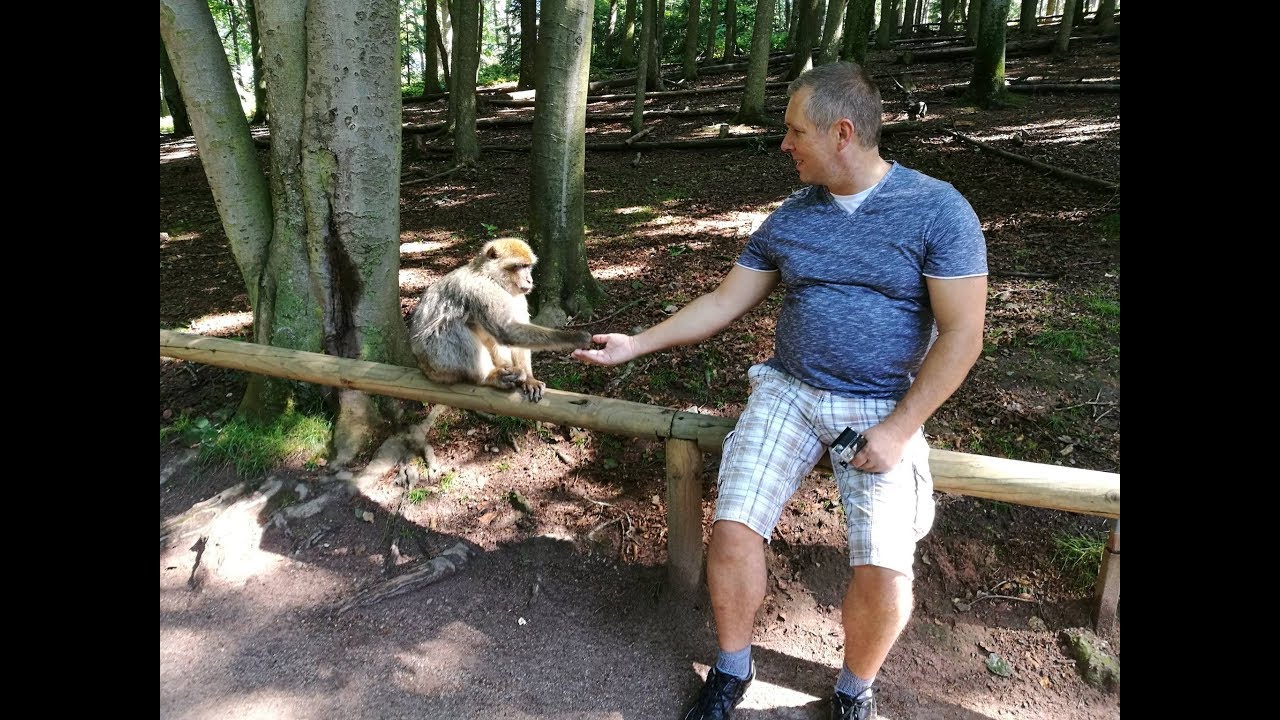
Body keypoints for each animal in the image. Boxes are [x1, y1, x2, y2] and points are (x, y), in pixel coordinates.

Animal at [407, 237, 591, 399]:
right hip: (436, 363)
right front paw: (575, 337)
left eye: (528, 267)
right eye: (519, 266)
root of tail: (421, 366)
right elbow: (507, 330)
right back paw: (489, 376)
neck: (492, 278)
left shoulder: (518, 296)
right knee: (451, 328)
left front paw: (530, 379)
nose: (529, 279)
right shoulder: (483, 289)